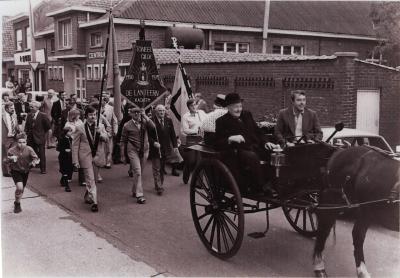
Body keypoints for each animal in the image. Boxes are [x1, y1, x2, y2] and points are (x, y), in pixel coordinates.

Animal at [312, 147, 400, 276]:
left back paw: (361, 270)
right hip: (334, 201)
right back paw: (319, 266)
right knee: (324, 228)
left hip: (366, 209)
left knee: (357, 234)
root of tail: (340, 151)